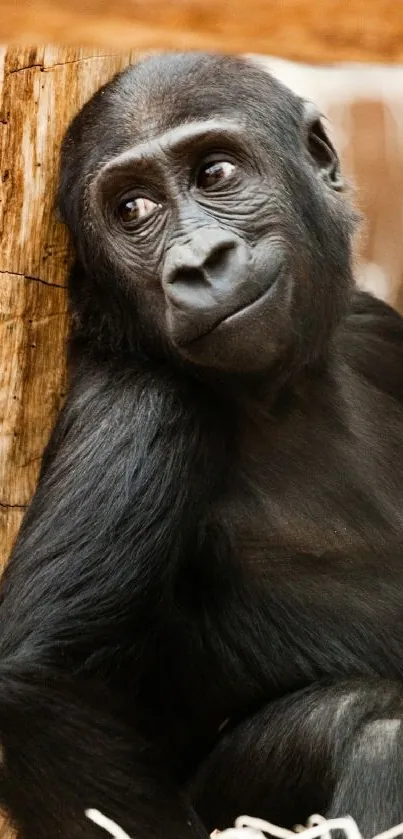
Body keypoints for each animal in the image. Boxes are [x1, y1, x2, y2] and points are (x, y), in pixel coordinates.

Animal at [0, 50, 403, 839]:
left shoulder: (378, 330)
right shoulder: (139, 409)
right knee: (377, 733)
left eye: (215, 172)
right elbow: (40, 679)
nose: (198, 261)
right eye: (132, 211)